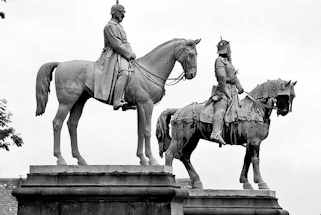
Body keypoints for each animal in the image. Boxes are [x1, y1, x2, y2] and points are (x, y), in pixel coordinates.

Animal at [35, 38, 200, 166]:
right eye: (191, 54)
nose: (192, 74)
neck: (150, 68)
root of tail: (61, 64)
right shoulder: (146, 104)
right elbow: (146, 130)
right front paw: (152, 160)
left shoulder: (140, 106)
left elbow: (140, 131)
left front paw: (142, 159)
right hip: (66, 102)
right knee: (57, 123)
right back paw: (60, 159)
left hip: (79, 101)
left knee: (72, 124)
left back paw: (80, 159)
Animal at [155, 80, 296, 189]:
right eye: (285, 95)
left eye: (292, 96)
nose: (284, 111)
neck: (254, 108)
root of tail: (178, 111)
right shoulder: (254, 141)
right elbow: (255, 160)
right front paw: (260, 182)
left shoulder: (250, 142)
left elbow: (247, 160)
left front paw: (246, 182)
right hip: (180, 139)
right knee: (170, 154)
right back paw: (170, 180)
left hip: (192, 140)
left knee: (185, 156)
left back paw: (197, 182)